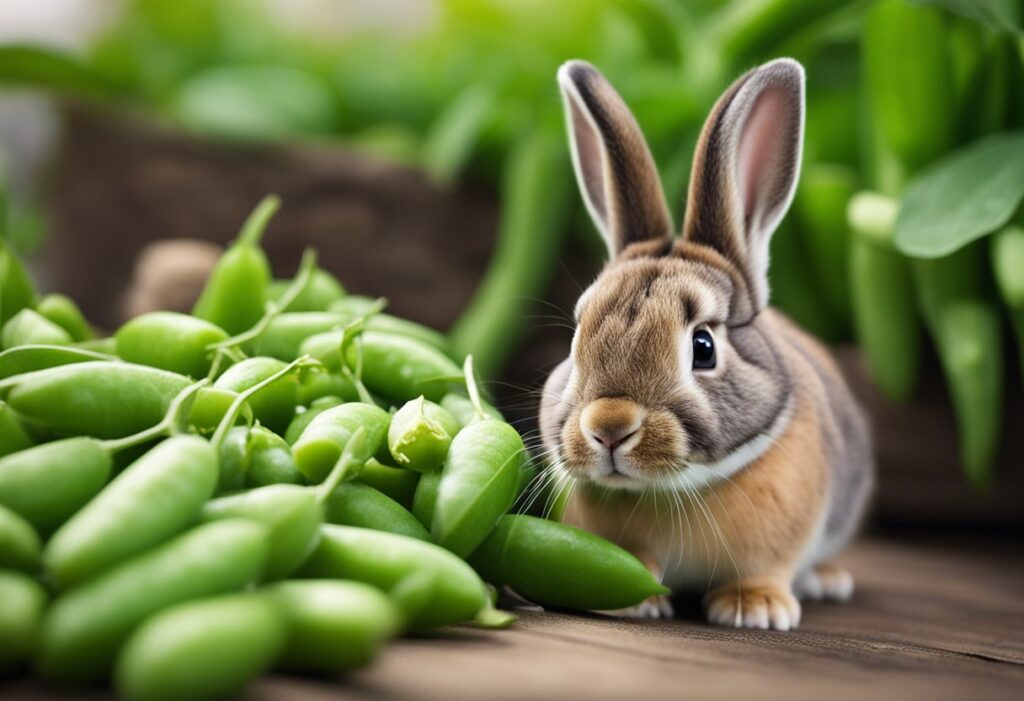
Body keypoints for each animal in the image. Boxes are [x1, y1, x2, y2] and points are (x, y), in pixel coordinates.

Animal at [538, 58, 874, 630]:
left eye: (704, 347)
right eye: (576, 336)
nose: (609, 427)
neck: (675, 489)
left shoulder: (774, 546)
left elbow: (764, 570)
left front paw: (753, 610)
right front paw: (636, 602)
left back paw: (828, 582)